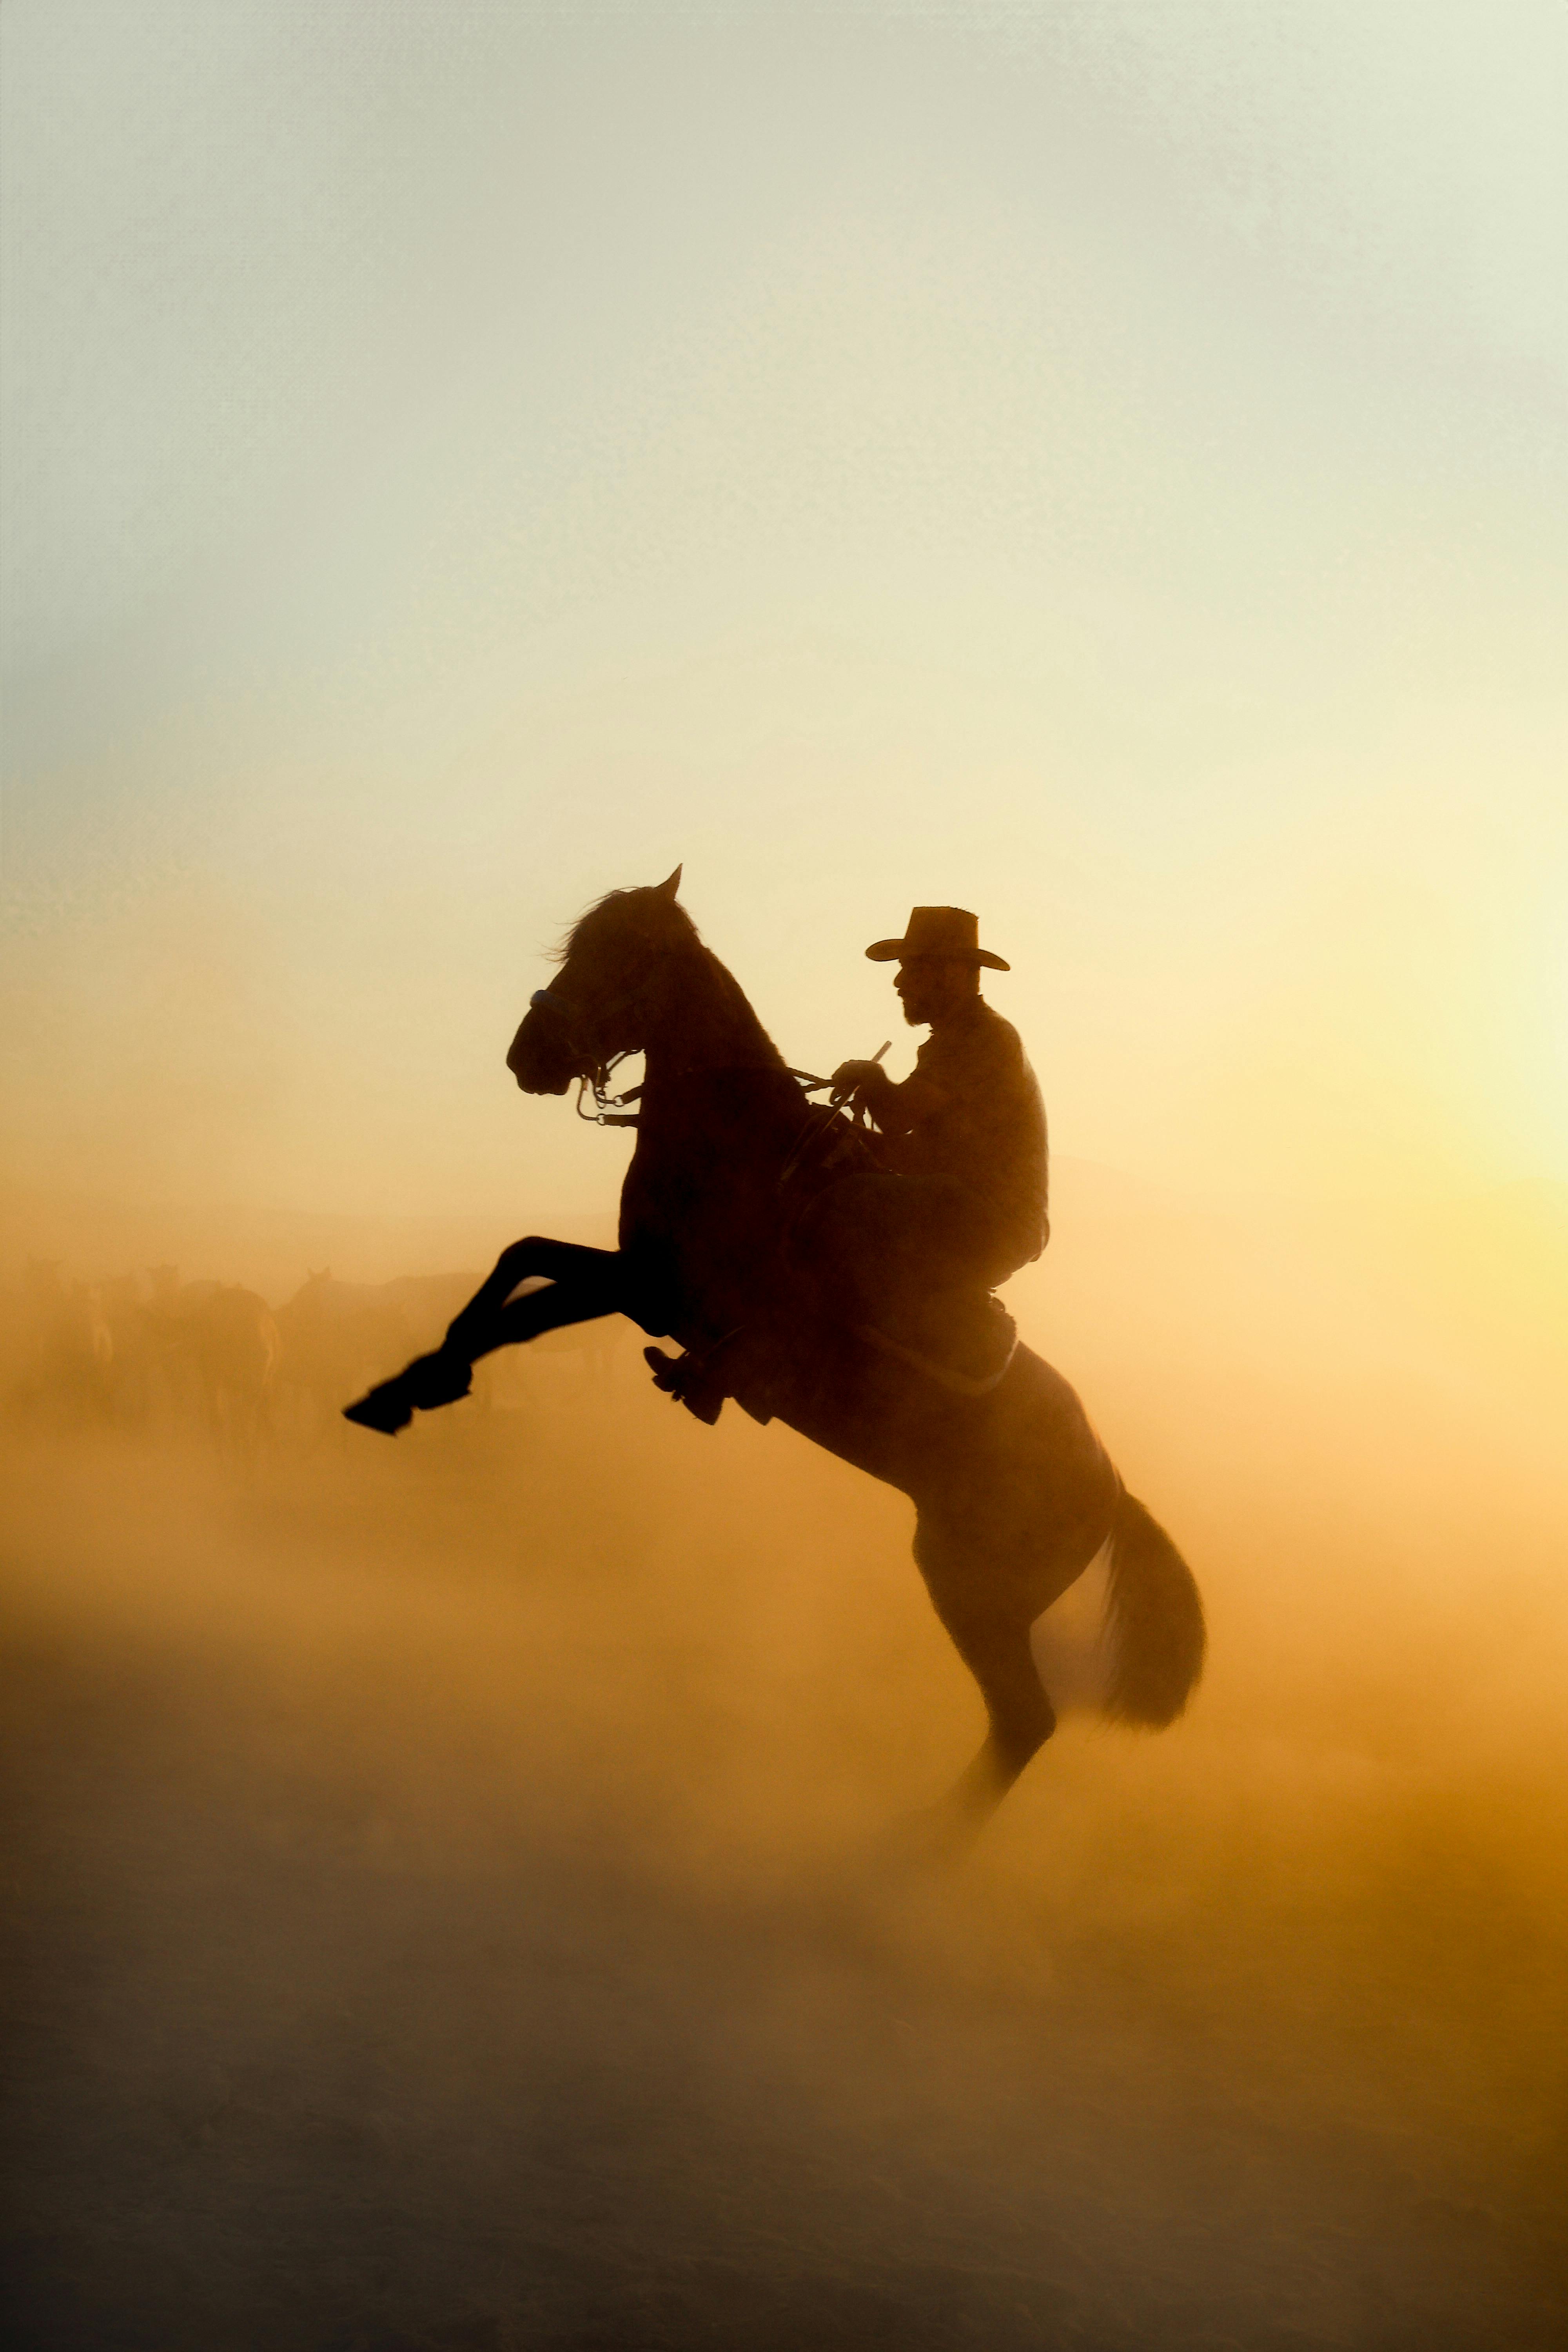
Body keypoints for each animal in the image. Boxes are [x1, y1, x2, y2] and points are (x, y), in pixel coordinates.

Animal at [345, 875, 1203, 1825]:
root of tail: (1111, 1486)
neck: (734, 1143)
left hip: (971, 1592)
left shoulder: (656, 1292)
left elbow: (520, 1311)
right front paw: (410, 1385)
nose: (526, 1057)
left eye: (624, 955)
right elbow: (518, 1262)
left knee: (1023, 1724)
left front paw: (416, 1386)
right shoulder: (638, 1279)